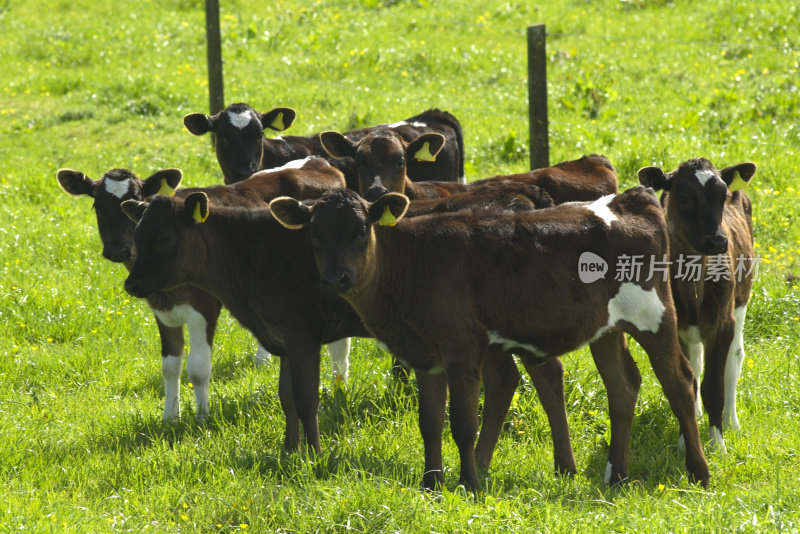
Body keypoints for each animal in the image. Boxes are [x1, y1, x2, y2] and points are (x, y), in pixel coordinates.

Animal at [57, 157, 348, 426]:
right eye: (98, 206)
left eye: (135, 200)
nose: (118, 250)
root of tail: (318, 163)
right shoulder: (161, 309)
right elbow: (170, 366)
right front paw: (170, 418)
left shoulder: (203, 306)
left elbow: (198, 367)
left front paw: (202, 418)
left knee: (340, 343)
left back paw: (339, 387)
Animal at [122, 195, 372, 454]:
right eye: (137, 237)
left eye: (164, 238)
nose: (130, 284)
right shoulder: (282, 338)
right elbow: (287, 397)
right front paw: (289, 451)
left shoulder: (301, 333)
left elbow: (306, 399)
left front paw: (313, 455)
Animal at [272, 188, 708, 494]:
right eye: (314, 234)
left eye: (361, 230)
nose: (335, 278)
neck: (411, 263)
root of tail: (630, 198)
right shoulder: (425, 354)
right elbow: (430, 423)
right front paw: (431, 484)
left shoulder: (462, 349)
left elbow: (463, 423)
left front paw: (469, 484)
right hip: (607, 328)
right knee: (622, 388)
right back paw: (616, 475)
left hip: (654, 316)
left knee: (680, 382)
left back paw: (699, 472)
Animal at [636, 159, 756, 452]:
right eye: (683, 198)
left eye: (722, 196)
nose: (717, 241)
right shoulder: (673, 326)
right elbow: (687, 382)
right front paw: (685, 439)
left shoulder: (723, 324)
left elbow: (714, 384)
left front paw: (717, 443)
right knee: (697, 364)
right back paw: (699, 415)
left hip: (741, 301)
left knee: (734, 359)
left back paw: (731, 422)